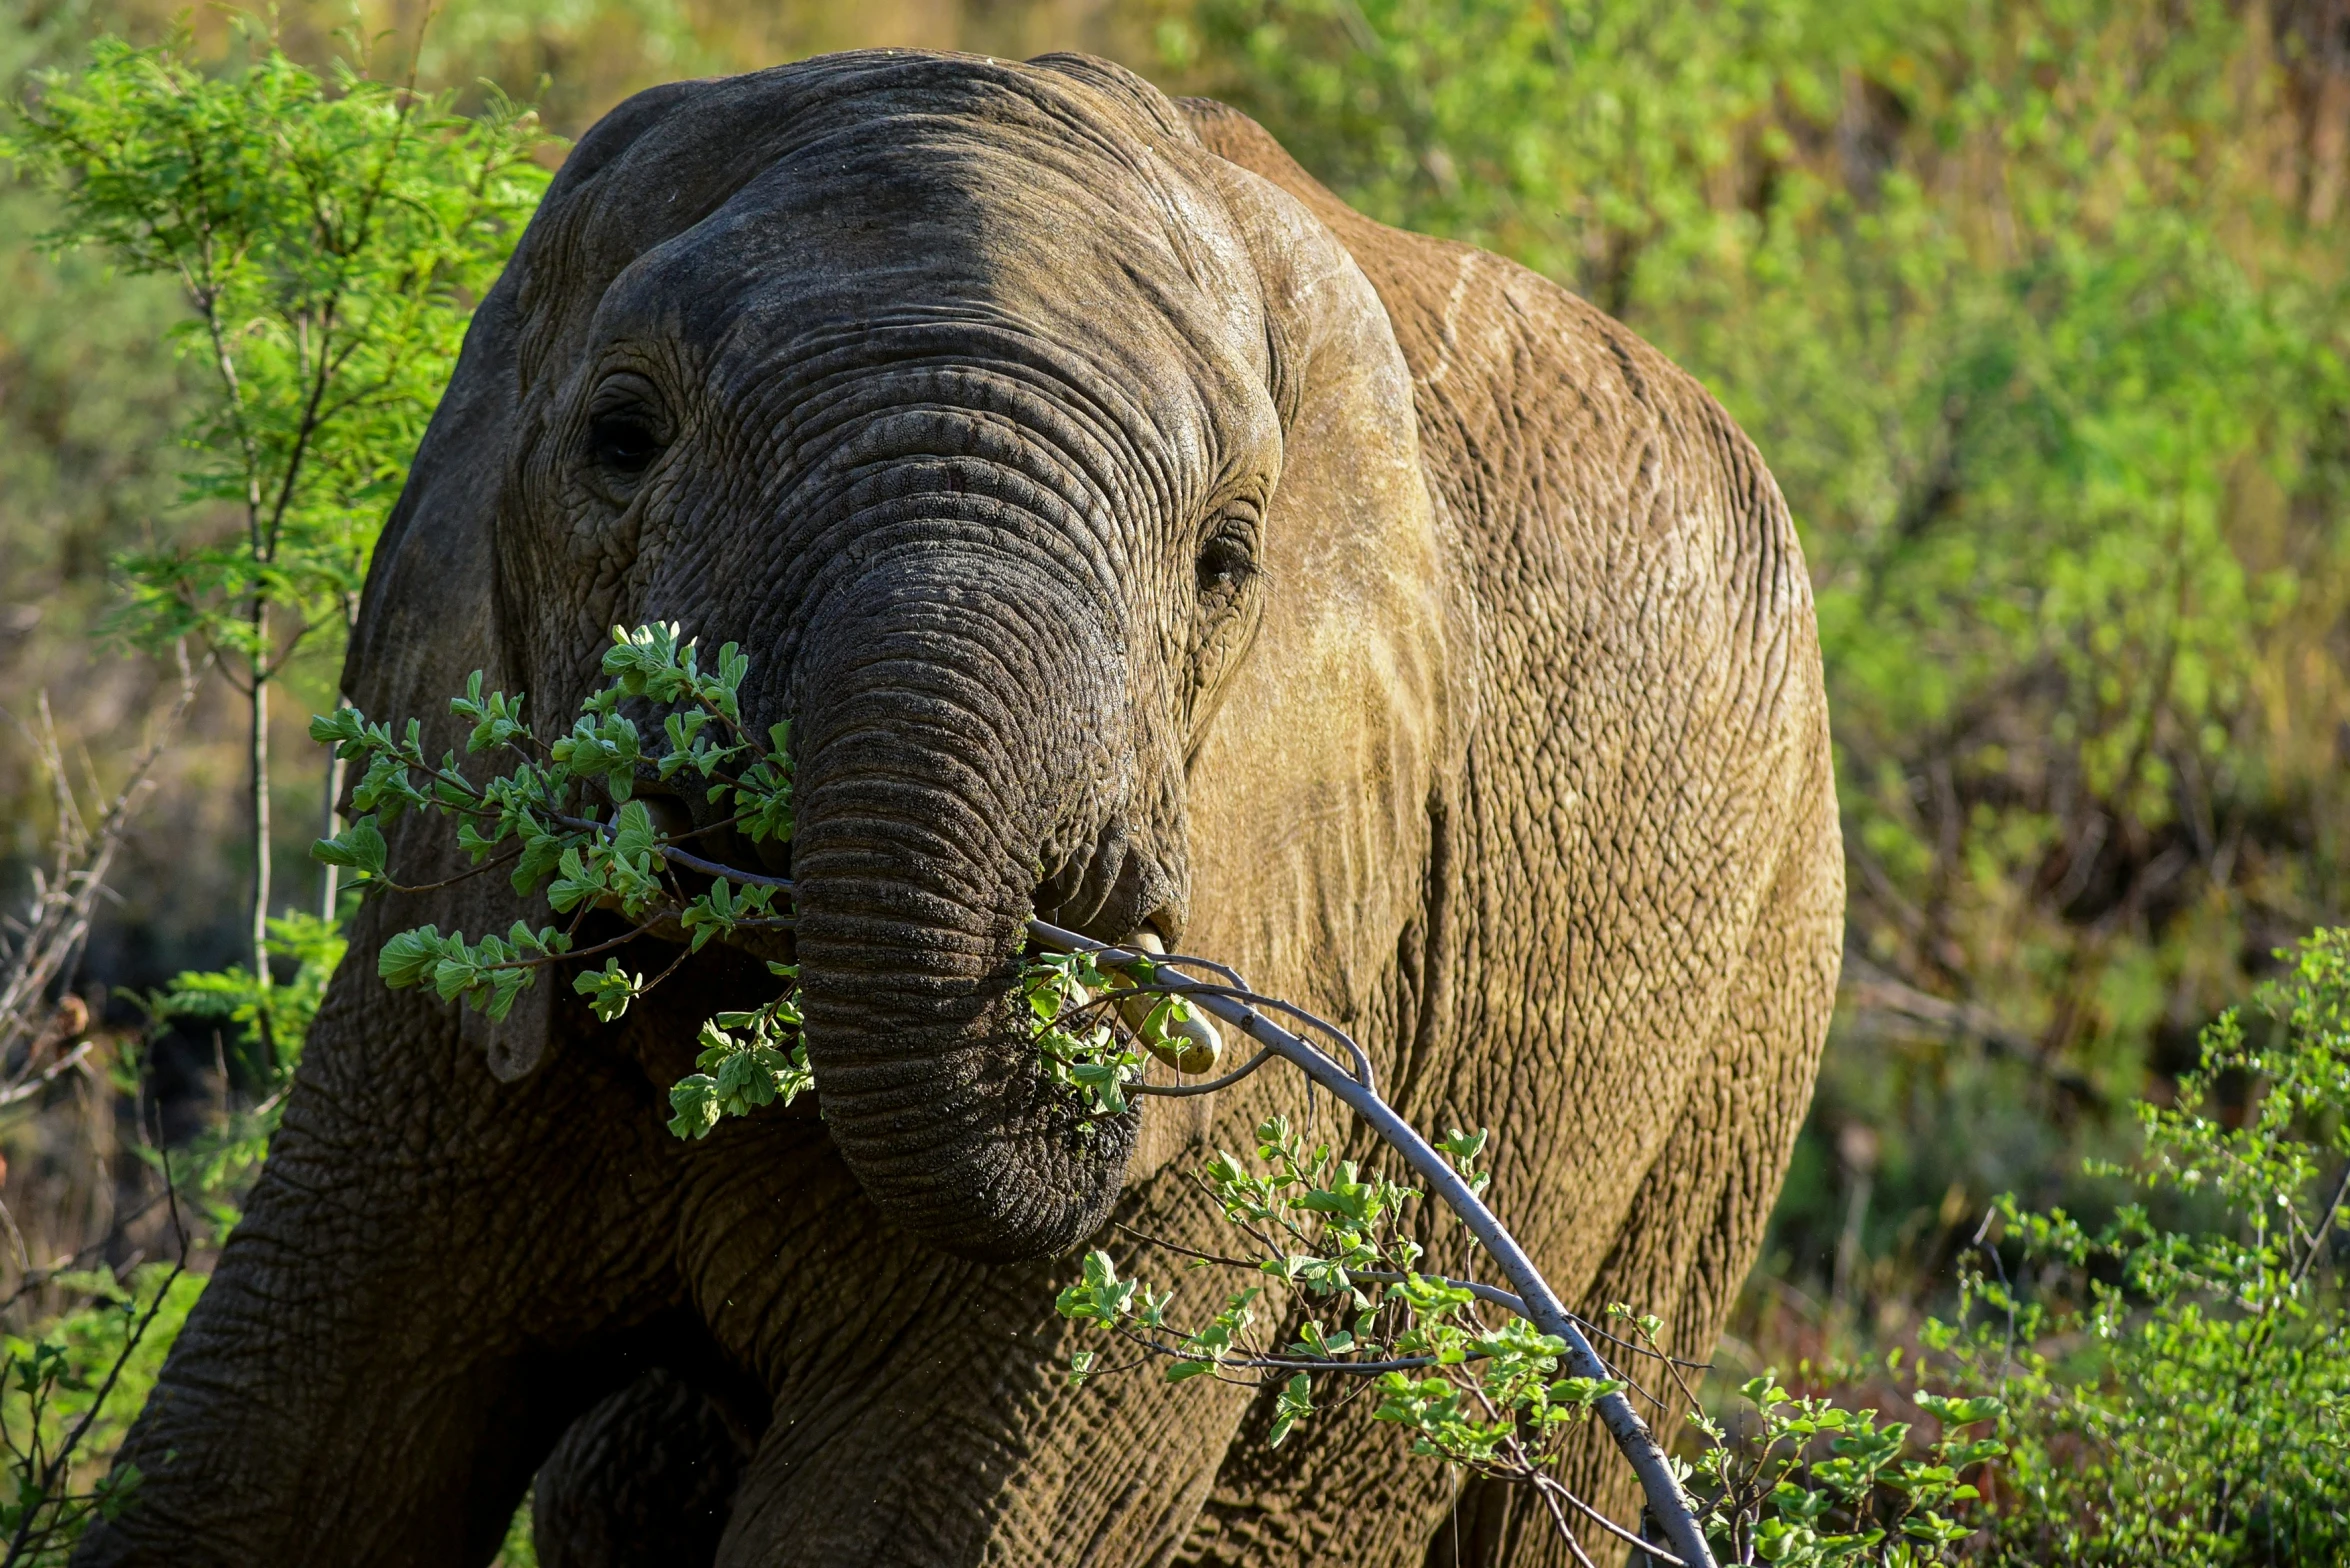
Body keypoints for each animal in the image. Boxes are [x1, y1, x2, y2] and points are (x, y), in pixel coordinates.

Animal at [82, 49, 1842, 1568]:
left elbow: (899, 1527)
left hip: (1737, 1047)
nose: (1115, 928)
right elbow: (259, 1467)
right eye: (621, 439)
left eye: (1227, 560)